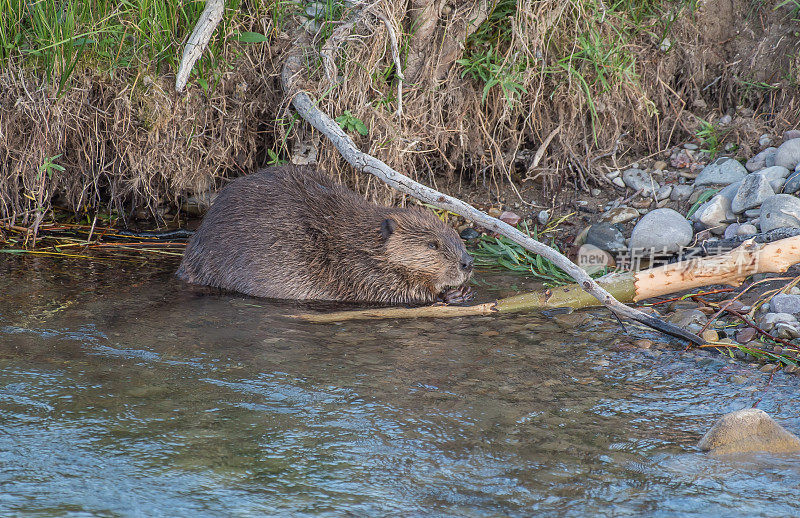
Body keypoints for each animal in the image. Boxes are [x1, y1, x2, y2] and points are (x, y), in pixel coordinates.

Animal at [177, 166, 476, 304]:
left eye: (455, 235)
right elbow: (396, 293)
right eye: (432, 244)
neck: (360, 239)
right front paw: (454, 295)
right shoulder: (360, 269)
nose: (467, 263)